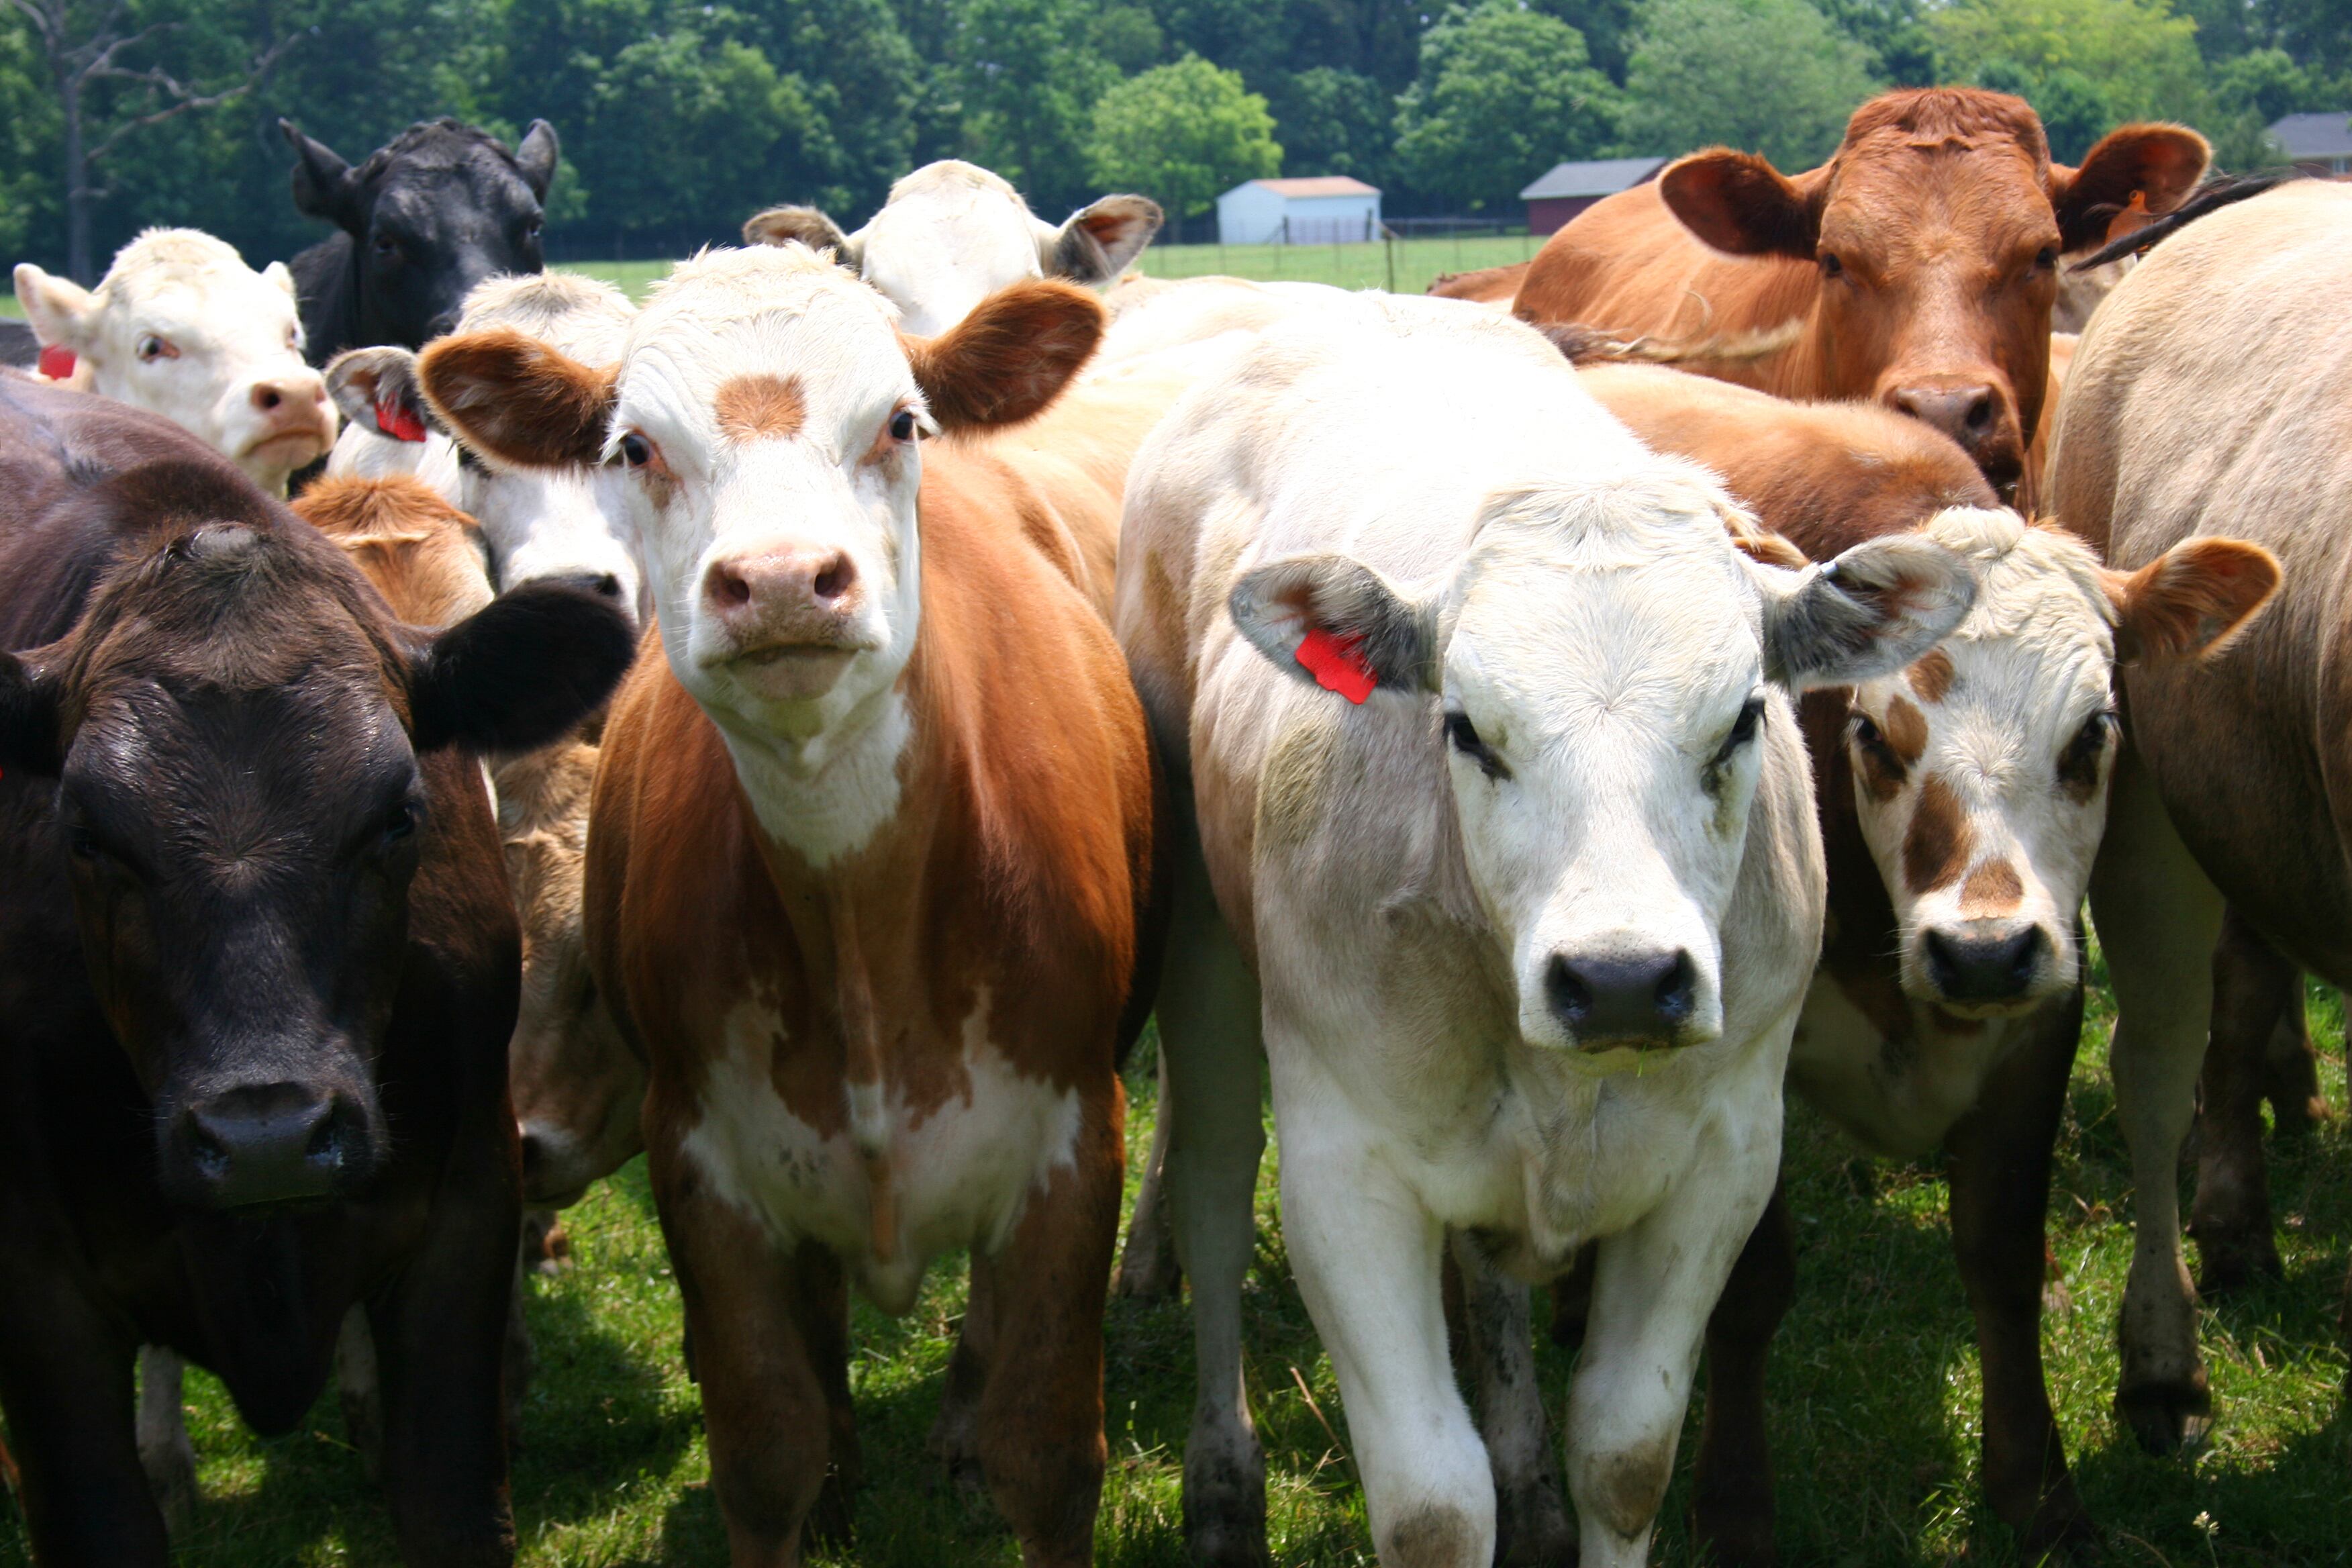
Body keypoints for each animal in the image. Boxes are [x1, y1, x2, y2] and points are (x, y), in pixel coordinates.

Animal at [414, 244, 1162, 1565]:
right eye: (633, 447)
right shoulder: (703, 1166)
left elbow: (1046, 1453)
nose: (777, 584)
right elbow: (764, 1453)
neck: (858, 919)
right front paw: (812, 1490)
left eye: (900, 423)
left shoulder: (1074, 1141)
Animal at [1113, 287, 1977, 1568]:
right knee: (1213, 1197)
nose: (1619, 979)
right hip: (1204, 953)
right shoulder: (1342, 1174)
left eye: (1742, 718)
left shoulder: (1720, 1161)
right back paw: (1221, 1486)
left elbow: (1624, 1457)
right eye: (1468, 727)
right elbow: (1430, 1506)